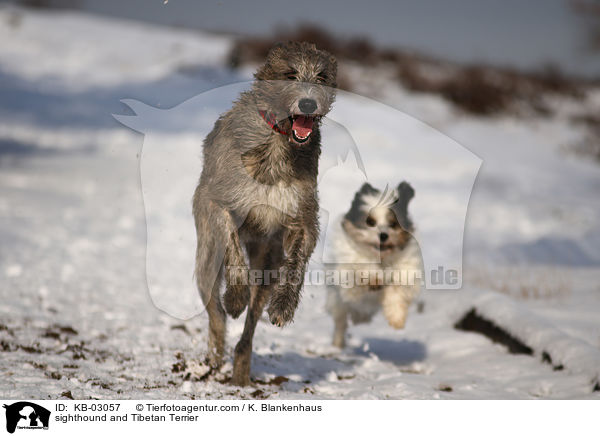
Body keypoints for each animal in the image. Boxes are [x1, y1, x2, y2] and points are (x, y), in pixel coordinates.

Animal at [193, 41, 338, 384]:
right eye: (290, 74)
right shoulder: (219, 201)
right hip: (206, 258)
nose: (308, 103)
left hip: (267, 265)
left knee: (250, 325)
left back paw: (241, 371)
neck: (277, 144)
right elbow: (232, 244)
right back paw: (215, 354)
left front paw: (284, 307)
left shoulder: (302, 216)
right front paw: (235, 295)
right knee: (215, 313)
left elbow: (297, 260)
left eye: (322, 77)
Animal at [328, 182, 422, 350]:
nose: (383, 235)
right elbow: (360, 269)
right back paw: (337, 344)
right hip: (337, 302)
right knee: (341, 322)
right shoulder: (347, 274)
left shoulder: (406, 270)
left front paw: (396, 318)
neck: (381, 259)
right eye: (370, 222)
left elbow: (397, 291)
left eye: (393, 223)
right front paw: (374, 278)